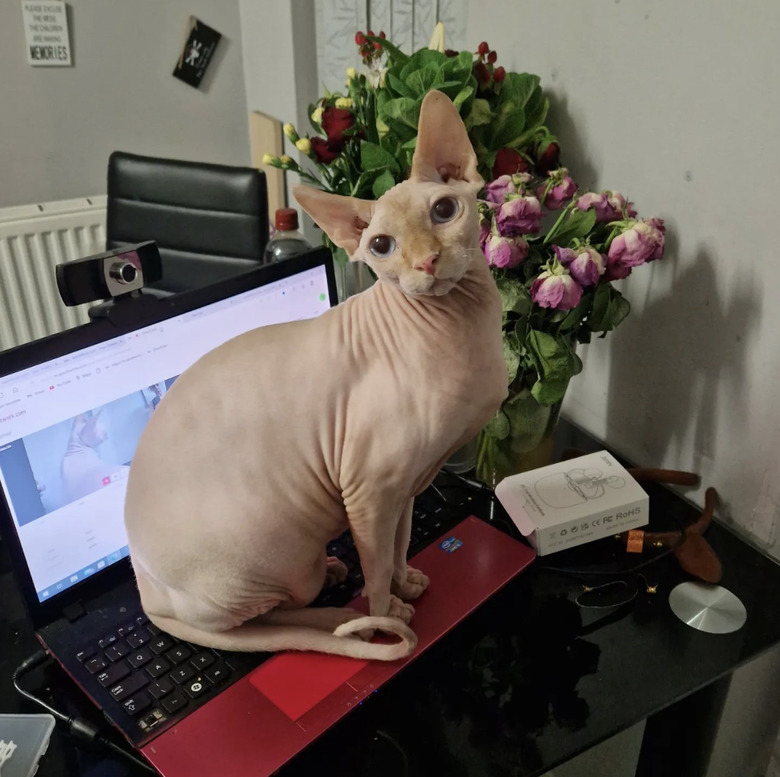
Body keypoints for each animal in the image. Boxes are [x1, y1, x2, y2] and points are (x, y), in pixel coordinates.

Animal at [123, 91, 506, 660]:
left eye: (444, 211)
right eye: (382, 247)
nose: (427, 262)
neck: (463, 326)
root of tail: (146, 595)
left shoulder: (405, 487)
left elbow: (399, 544)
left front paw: (407, 581)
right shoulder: (367, 492)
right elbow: (375, 570)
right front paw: (385, 614)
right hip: (281, 551)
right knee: (265, 620)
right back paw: (337, 608)